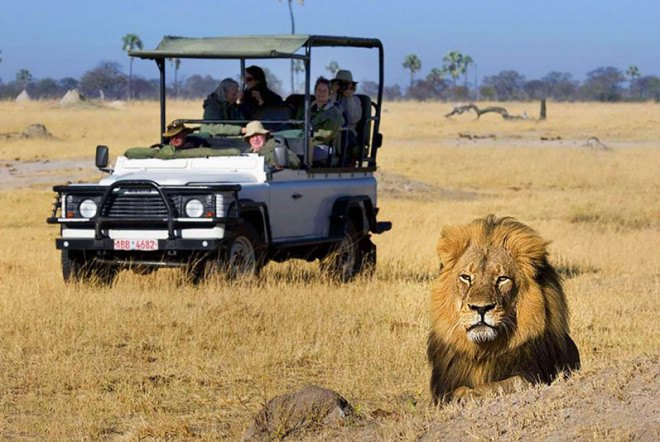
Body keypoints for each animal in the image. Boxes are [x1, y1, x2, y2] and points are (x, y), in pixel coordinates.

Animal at [427, 215, 580, 403]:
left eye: (502, 279)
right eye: (466, 277)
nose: (481, 308)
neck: (483, 353)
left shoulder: (532, 376)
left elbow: (500, 385)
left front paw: (469, 394)